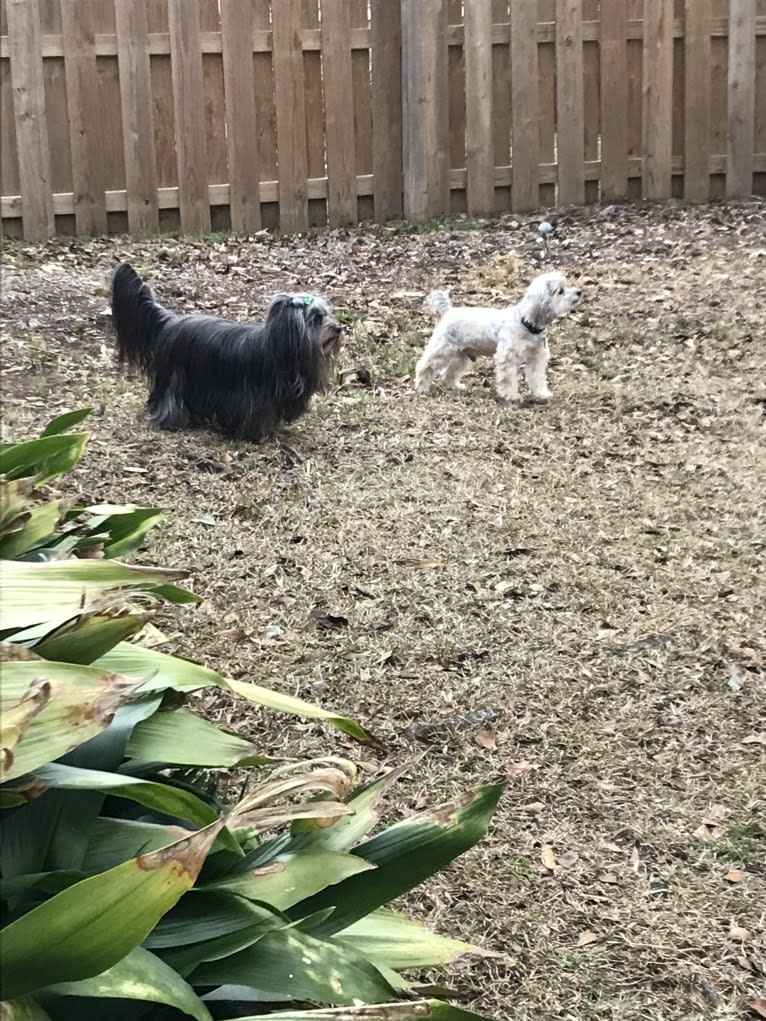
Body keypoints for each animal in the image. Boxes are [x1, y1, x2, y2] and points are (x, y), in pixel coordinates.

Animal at [110, 263, 341, 439]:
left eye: (326, 314)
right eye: (316, 319)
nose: (339, 328)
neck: (281, 350)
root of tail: (170, 320)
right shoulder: (256, 399)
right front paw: (261, 435)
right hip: (175, 376)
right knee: (169, 398)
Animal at [416, 273, 584, 404]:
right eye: (560, 291)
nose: (579, 292)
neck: (525, 323)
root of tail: (449, 311)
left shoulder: (536, 358)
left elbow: (537, 378)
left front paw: (541, 394)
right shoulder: (507, 358)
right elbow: (508, 379)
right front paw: (511, 396)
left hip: (462, 355)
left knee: (450, 372)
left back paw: (454, 386)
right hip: (441, 350)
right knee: (425, 367)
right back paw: (421, 387)